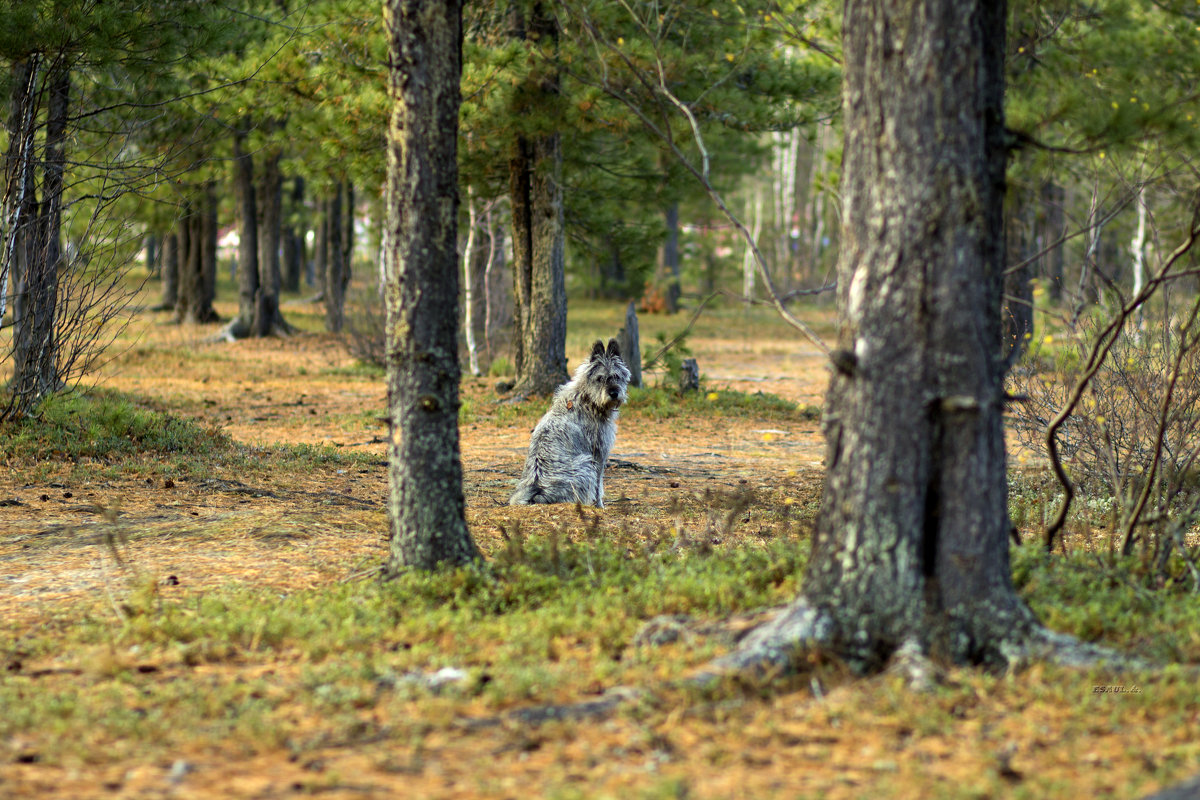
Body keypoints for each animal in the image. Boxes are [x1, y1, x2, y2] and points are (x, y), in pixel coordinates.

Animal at [511, 338, 633, 506]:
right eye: (600, 378)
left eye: (617, 376)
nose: (614, 393)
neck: (588, 398)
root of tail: (539, 491)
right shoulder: (598, 453)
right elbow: (598, 485)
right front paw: (599, 505)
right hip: (586, 464)